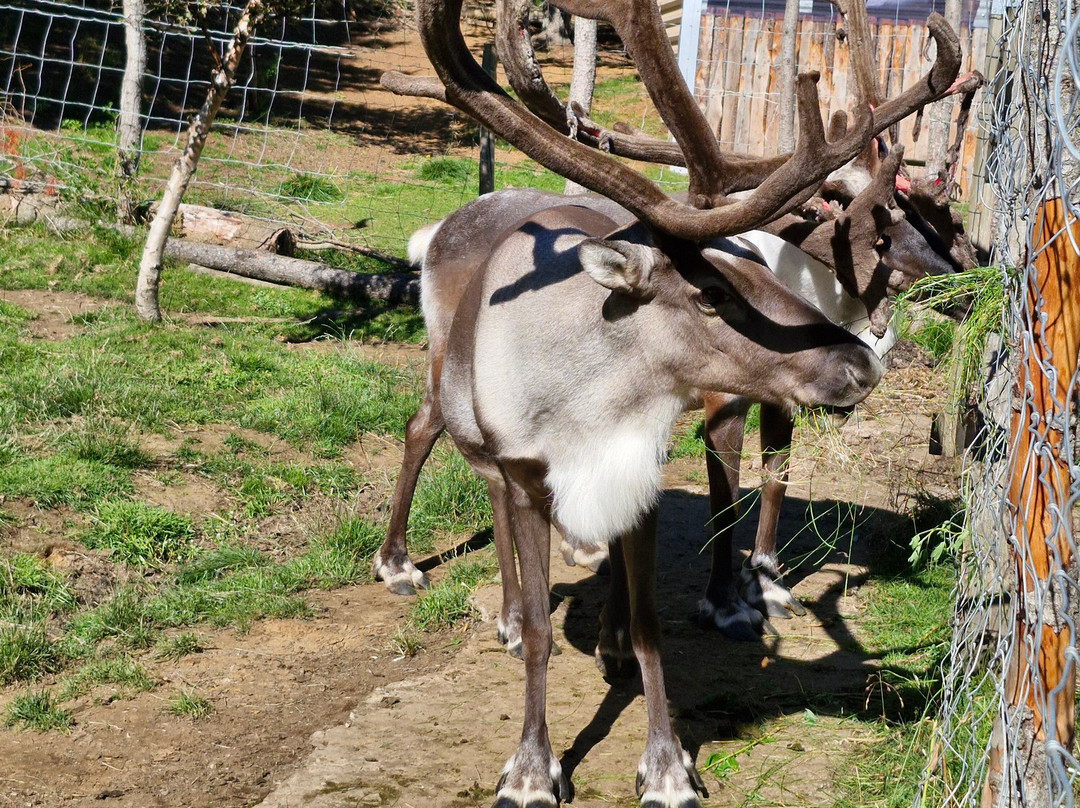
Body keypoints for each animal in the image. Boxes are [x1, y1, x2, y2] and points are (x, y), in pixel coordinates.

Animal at [380, 0, 959, 802]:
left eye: (756, 267)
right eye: (711, 293)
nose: (862, 364)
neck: (586, 411)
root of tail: (435, 230)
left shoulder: (644, 466)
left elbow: (663, 604)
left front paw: (665, 760)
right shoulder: (552, 460)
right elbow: (554, 618)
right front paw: (531, 766)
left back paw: (600, 630)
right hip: (450, 378)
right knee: (430, 437)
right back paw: (424, 575)